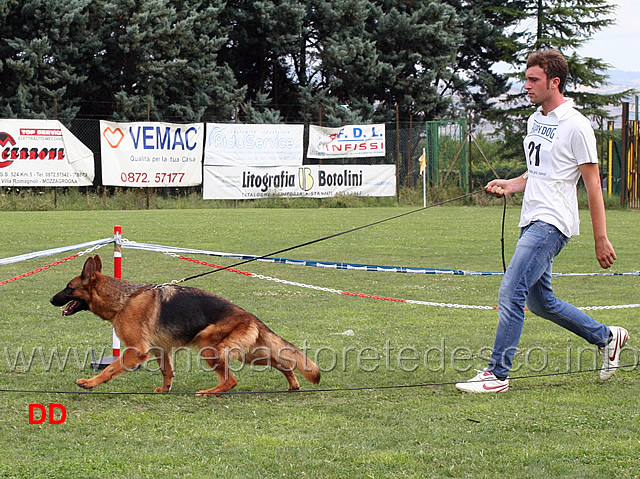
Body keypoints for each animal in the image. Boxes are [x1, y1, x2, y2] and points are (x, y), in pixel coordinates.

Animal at [49, 256, 320, 396]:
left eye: (68, 288)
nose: (51, 300)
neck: (123, 300)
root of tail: (251, 316)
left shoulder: (136, 351)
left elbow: (110, 369)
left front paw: (90, 383)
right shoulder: (160, 350)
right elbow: (166, 371)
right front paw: (165, 389)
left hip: (211, 350)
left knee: (231, 380)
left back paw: (211, 391)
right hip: (247, 354)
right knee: (282, 362)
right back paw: (293, 383)